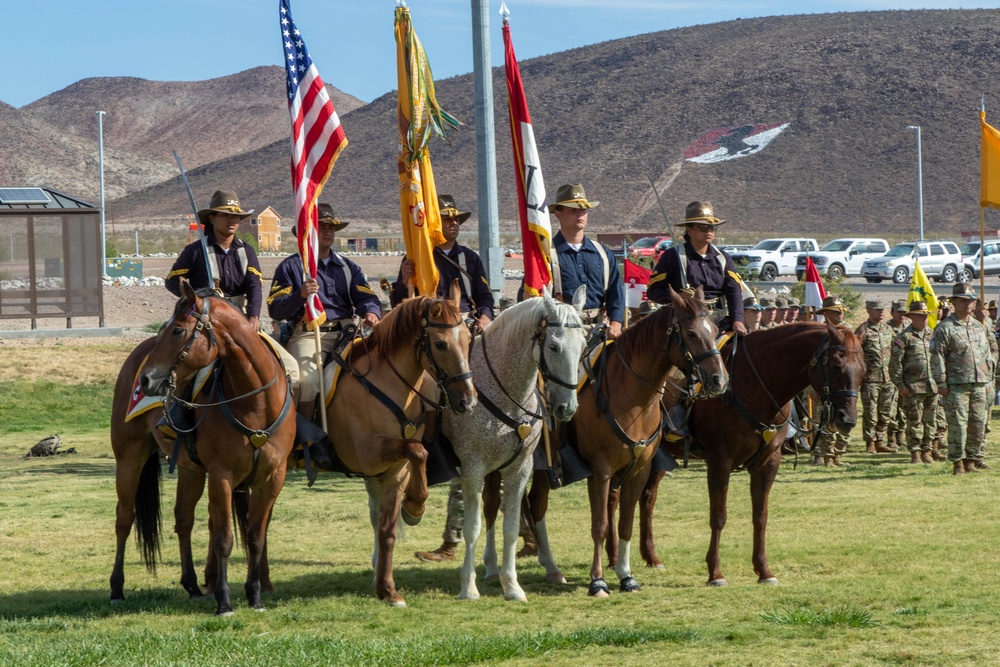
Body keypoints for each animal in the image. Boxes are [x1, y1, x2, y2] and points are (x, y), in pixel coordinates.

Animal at [112, 280, 296, 620]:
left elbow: (255, 537)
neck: (256, 403)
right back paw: (116, 588)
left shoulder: (272, 477)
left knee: (183, 519)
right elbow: (223, 537)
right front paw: (224, 601)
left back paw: (192, 584)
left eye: (178, 331)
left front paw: (255, 596)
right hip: (129, 457)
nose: (147, 379)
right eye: (167, 329)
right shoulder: (222, 475)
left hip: (190, 470)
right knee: (124, 518)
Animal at [322, 284, 474, 608]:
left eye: (468, 339)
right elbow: (419, 451)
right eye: (440, 344)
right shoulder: (370, 456)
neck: (387, 384)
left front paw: (387, 589)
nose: (468, 402)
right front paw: (414, 507)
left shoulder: (393, 469)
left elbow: (387, 530)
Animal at [442, 290, 588, 604]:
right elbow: (471, 527)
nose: (567, 407)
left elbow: (509, 526)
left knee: (493, 507)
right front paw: (468, 587)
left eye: (583, 346)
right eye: (554, 346)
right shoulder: (472, 468)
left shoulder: (520, 468)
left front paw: (511, 585)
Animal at [520, 284, 724, 596]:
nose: (718, 380)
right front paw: (598, 580)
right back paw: (548, 566)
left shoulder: (639, 470)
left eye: (714, 329)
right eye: (690, 333)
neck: (631, 398)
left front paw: (626, 576)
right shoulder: (600, 471)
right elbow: (600, 524)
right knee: (536, 504)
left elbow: (626, 522)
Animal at [608, 320, 868, 588]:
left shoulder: (768, 463)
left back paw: (651, 557)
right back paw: (614, 558)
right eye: (836, 365)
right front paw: (715, 573)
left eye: (863, 369)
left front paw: (764, 571)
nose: (847, 419)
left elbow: (761, 516)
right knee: (613, 498)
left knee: (647, 499)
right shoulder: (720, 462)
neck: (755, 385)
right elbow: (719, 516)